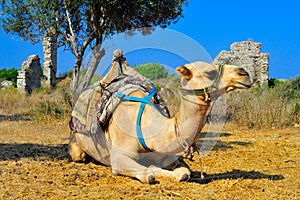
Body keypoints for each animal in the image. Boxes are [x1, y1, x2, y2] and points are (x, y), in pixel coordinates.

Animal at [68, 54, 251, 184]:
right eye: (210, 72)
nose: (244, 73)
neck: (147, 130)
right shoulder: (119, 158)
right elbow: (148, 173)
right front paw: (150, 169)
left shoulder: (168, 156)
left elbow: (184, 173)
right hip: (78, 146)